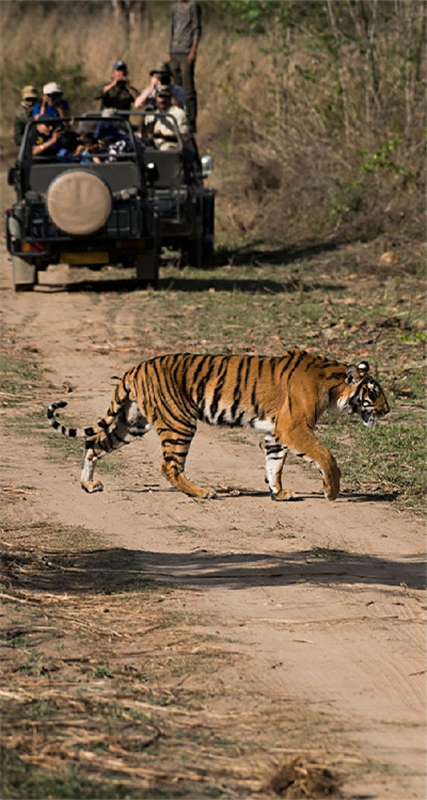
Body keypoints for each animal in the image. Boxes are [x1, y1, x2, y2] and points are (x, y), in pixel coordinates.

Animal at [46, 348, 392, 500]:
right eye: (374, 393)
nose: (388, 410)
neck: (332, 385)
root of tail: (135, 368)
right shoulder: (295, 427)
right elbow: (326, 456)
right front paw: (331, 491)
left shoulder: (277, 432)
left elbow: (274, 464)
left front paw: (278, 492)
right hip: (179, 422)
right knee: (169, 466)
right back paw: (202, 492)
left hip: (131, 424)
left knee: (93, 443)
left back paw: (89, 485)